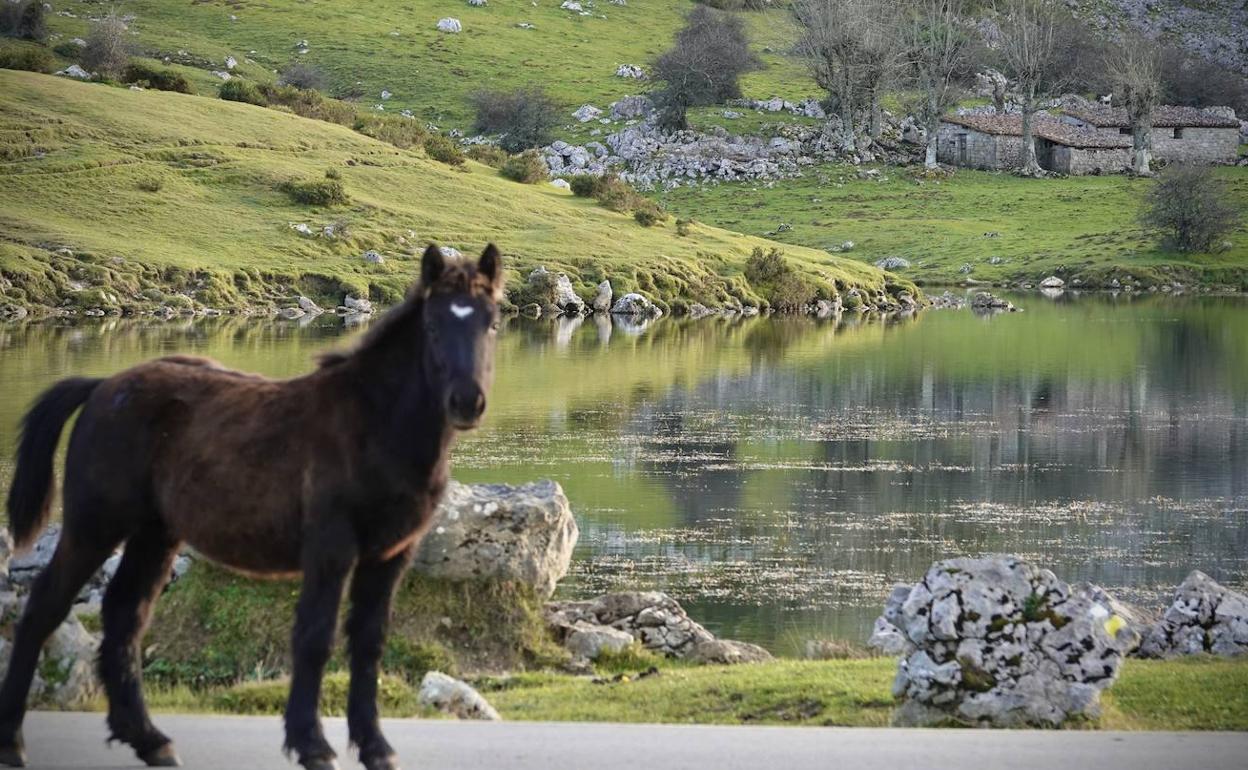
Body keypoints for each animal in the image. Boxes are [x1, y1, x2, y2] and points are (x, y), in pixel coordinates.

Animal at [4, 243, 504, 763]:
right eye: (432, 326)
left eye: (491, 322)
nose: (467, 402)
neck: (373, 423)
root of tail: (101, 385)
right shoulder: (330, 548)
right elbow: (314, 638)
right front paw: (310, 743)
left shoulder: (391, 555)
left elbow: (368, 644)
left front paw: (374, 746)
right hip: (94, 526)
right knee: (43, 608)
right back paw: (14, 741)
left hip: (154, 535)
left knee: (125, 615)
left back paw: (150, 739)